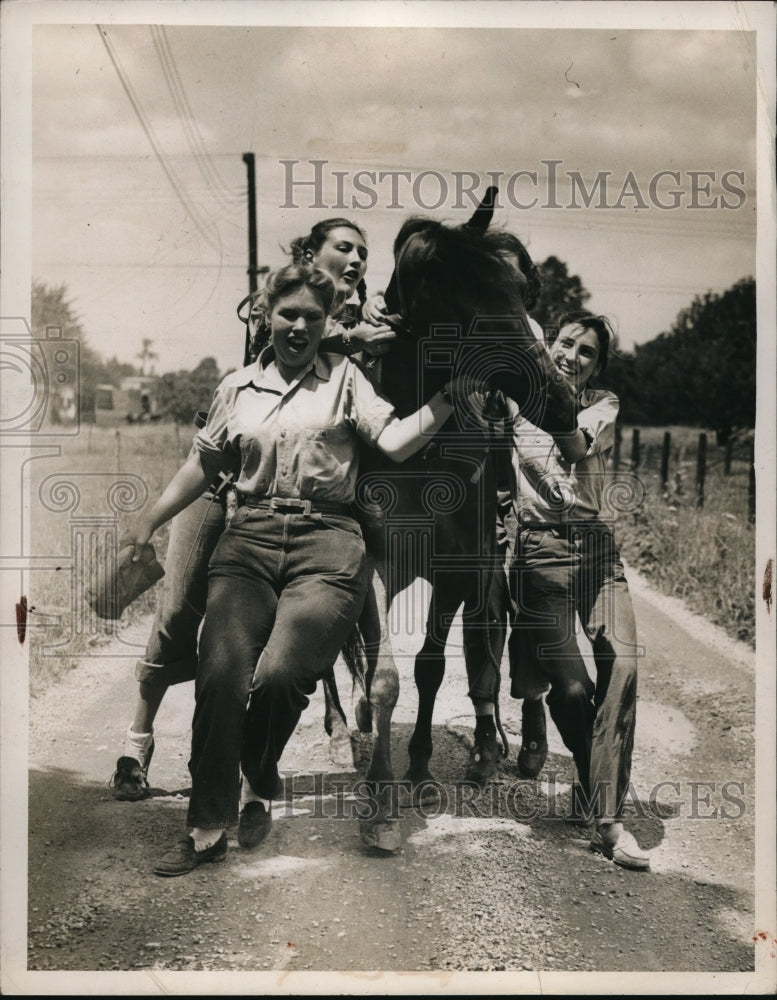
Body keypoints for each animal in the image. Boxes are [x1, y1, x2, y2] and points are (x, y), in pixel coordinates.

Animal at [340, 189, 576, 852]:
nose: (563, 400)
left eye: (522, 290)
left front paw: (419, 768)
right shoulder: (375, 562)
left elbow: (432, 667)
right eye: (465, 295)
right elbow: (384, 676)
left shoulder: (456, 567)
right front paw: (380, 799)